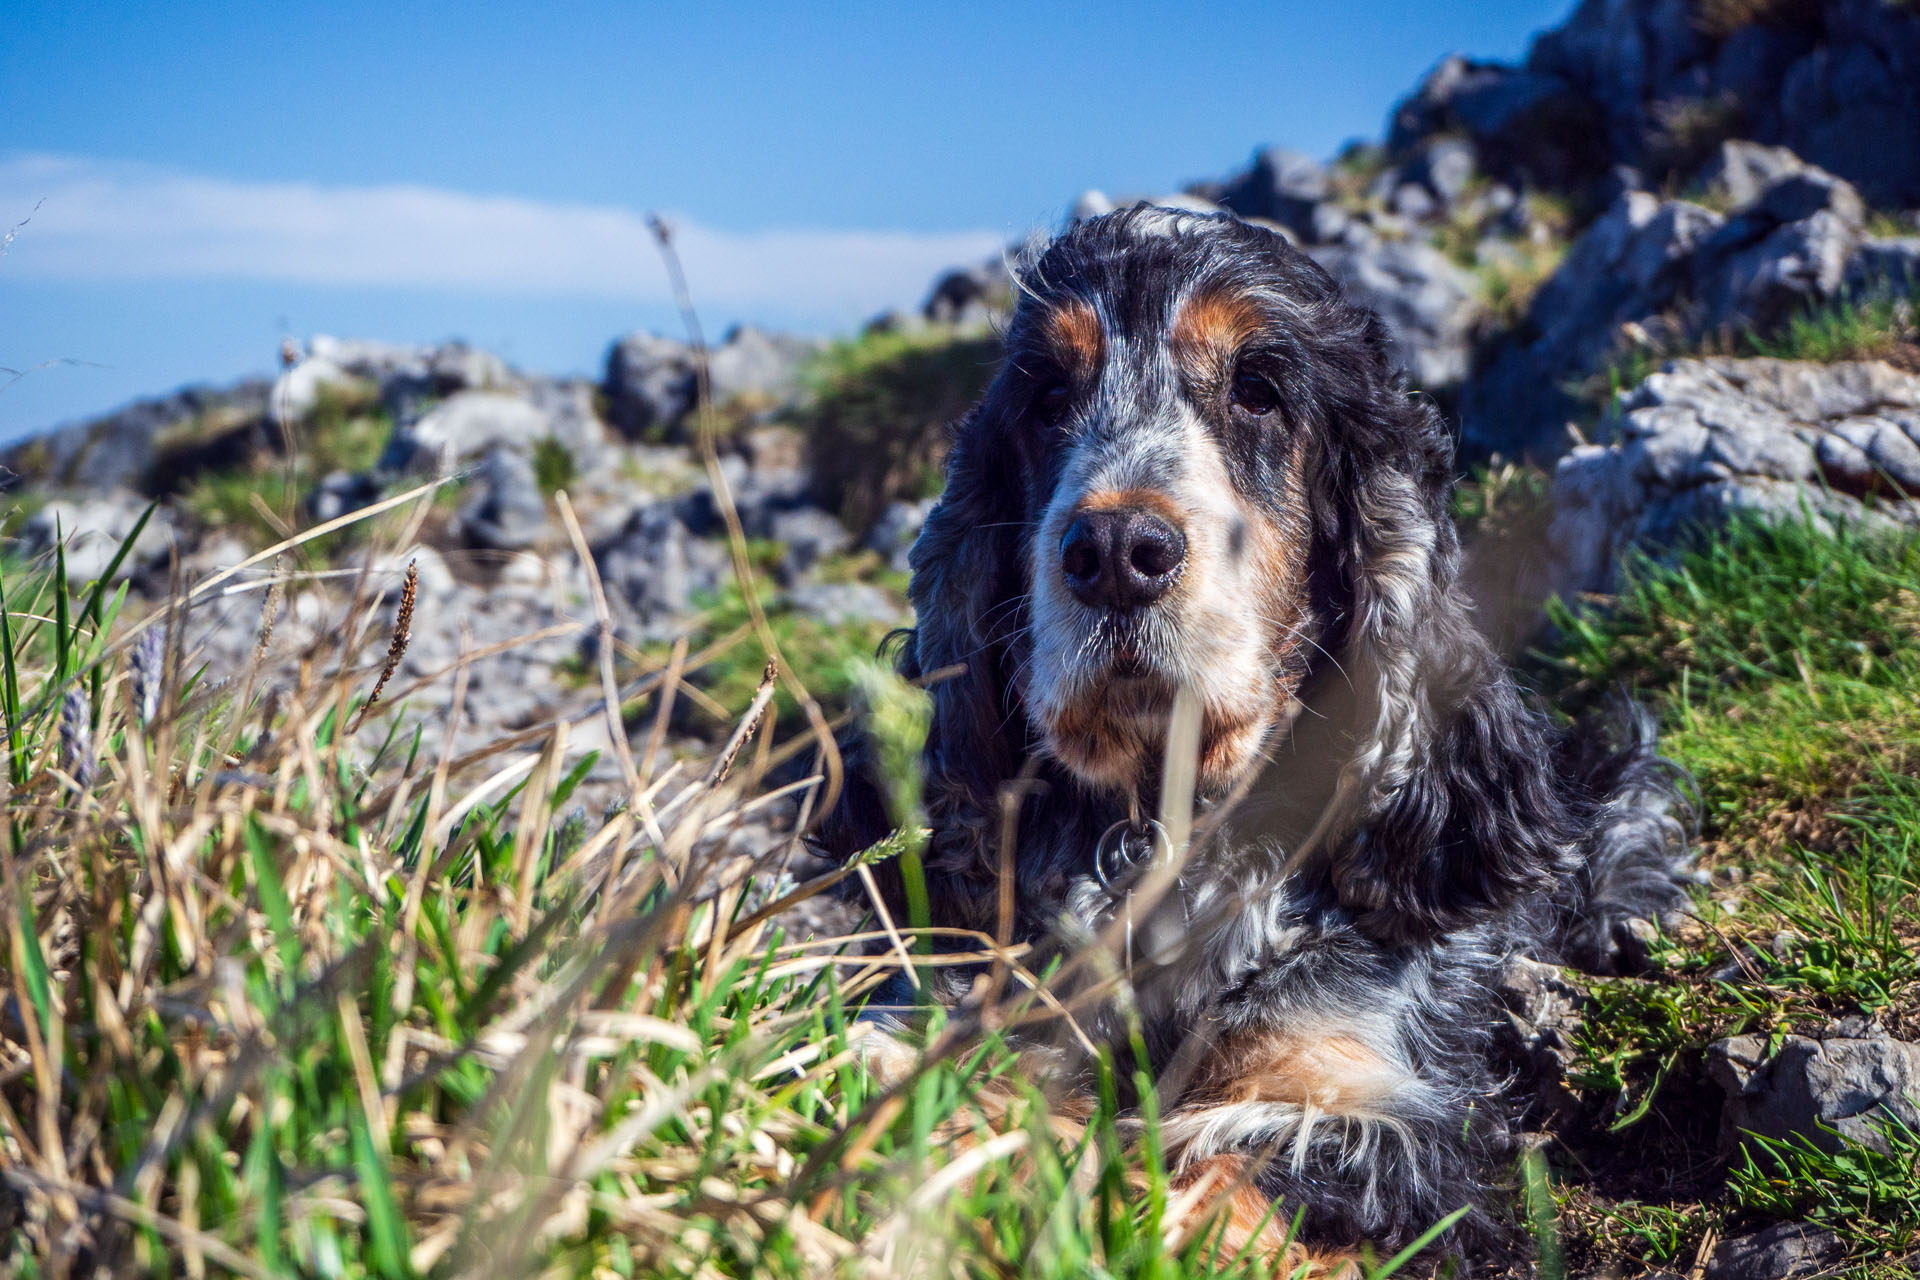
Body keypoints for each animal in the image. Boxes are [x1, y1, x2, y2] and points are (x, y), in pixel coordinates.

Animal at [817, 205, 1689, 1258]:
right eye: (1048, 398)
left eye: (1260, 392)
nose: (1116, 551)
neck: (1163, 832)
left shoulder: (1369, 1105)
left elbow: (1204, 1176)